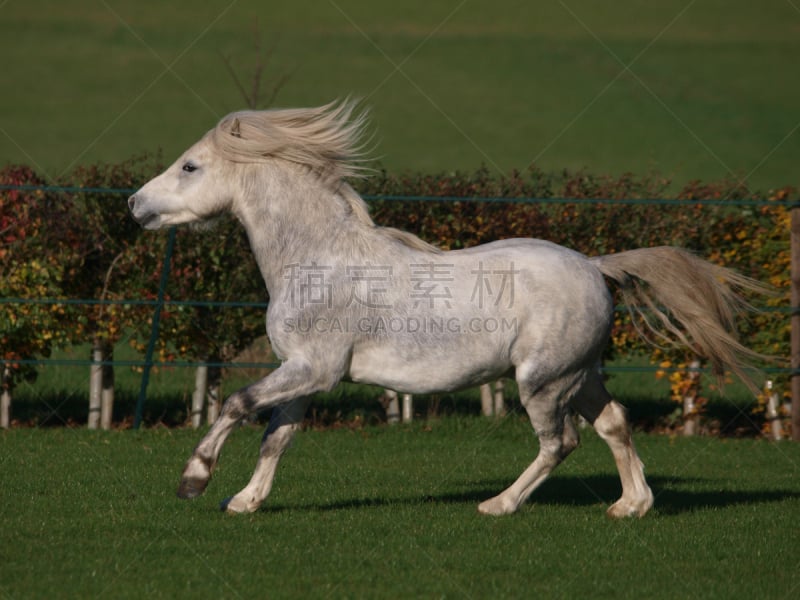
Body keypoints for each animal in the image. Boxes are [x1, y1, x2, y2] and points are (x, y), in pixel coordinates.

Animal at [130, 99, 764, 516]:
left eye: (190, 166)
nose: (135, 204)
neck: (318, 259)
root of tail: (595, 266)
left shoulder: (315, 368)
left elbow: (236, 403)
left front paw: (194, 481)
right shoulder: (303, 374)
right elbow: (276, 437)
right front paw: (245, 501)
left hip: (542, 381)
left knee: (560, 443)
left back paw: (498, 505)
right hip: (579, 374)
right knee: (614, 423)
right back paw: (630, 507)